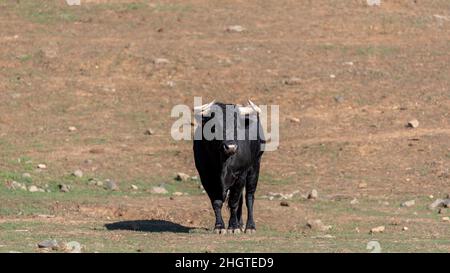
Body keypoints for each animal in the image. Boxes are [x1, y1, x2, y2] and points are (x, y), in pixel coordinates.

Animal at [192, 102, 264, 234]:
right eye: (214, 126)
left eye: (236, 125)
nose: (230, 147)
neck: (223, 163)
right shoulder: (206, 177)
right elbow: (216, 202)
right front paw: (219, 227)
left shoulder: (240, 174)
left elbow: (233, 202)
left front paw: (233, 227)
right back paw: (240, 224)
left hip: (255, 167)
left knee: (249, 197)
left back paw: (250, 227)